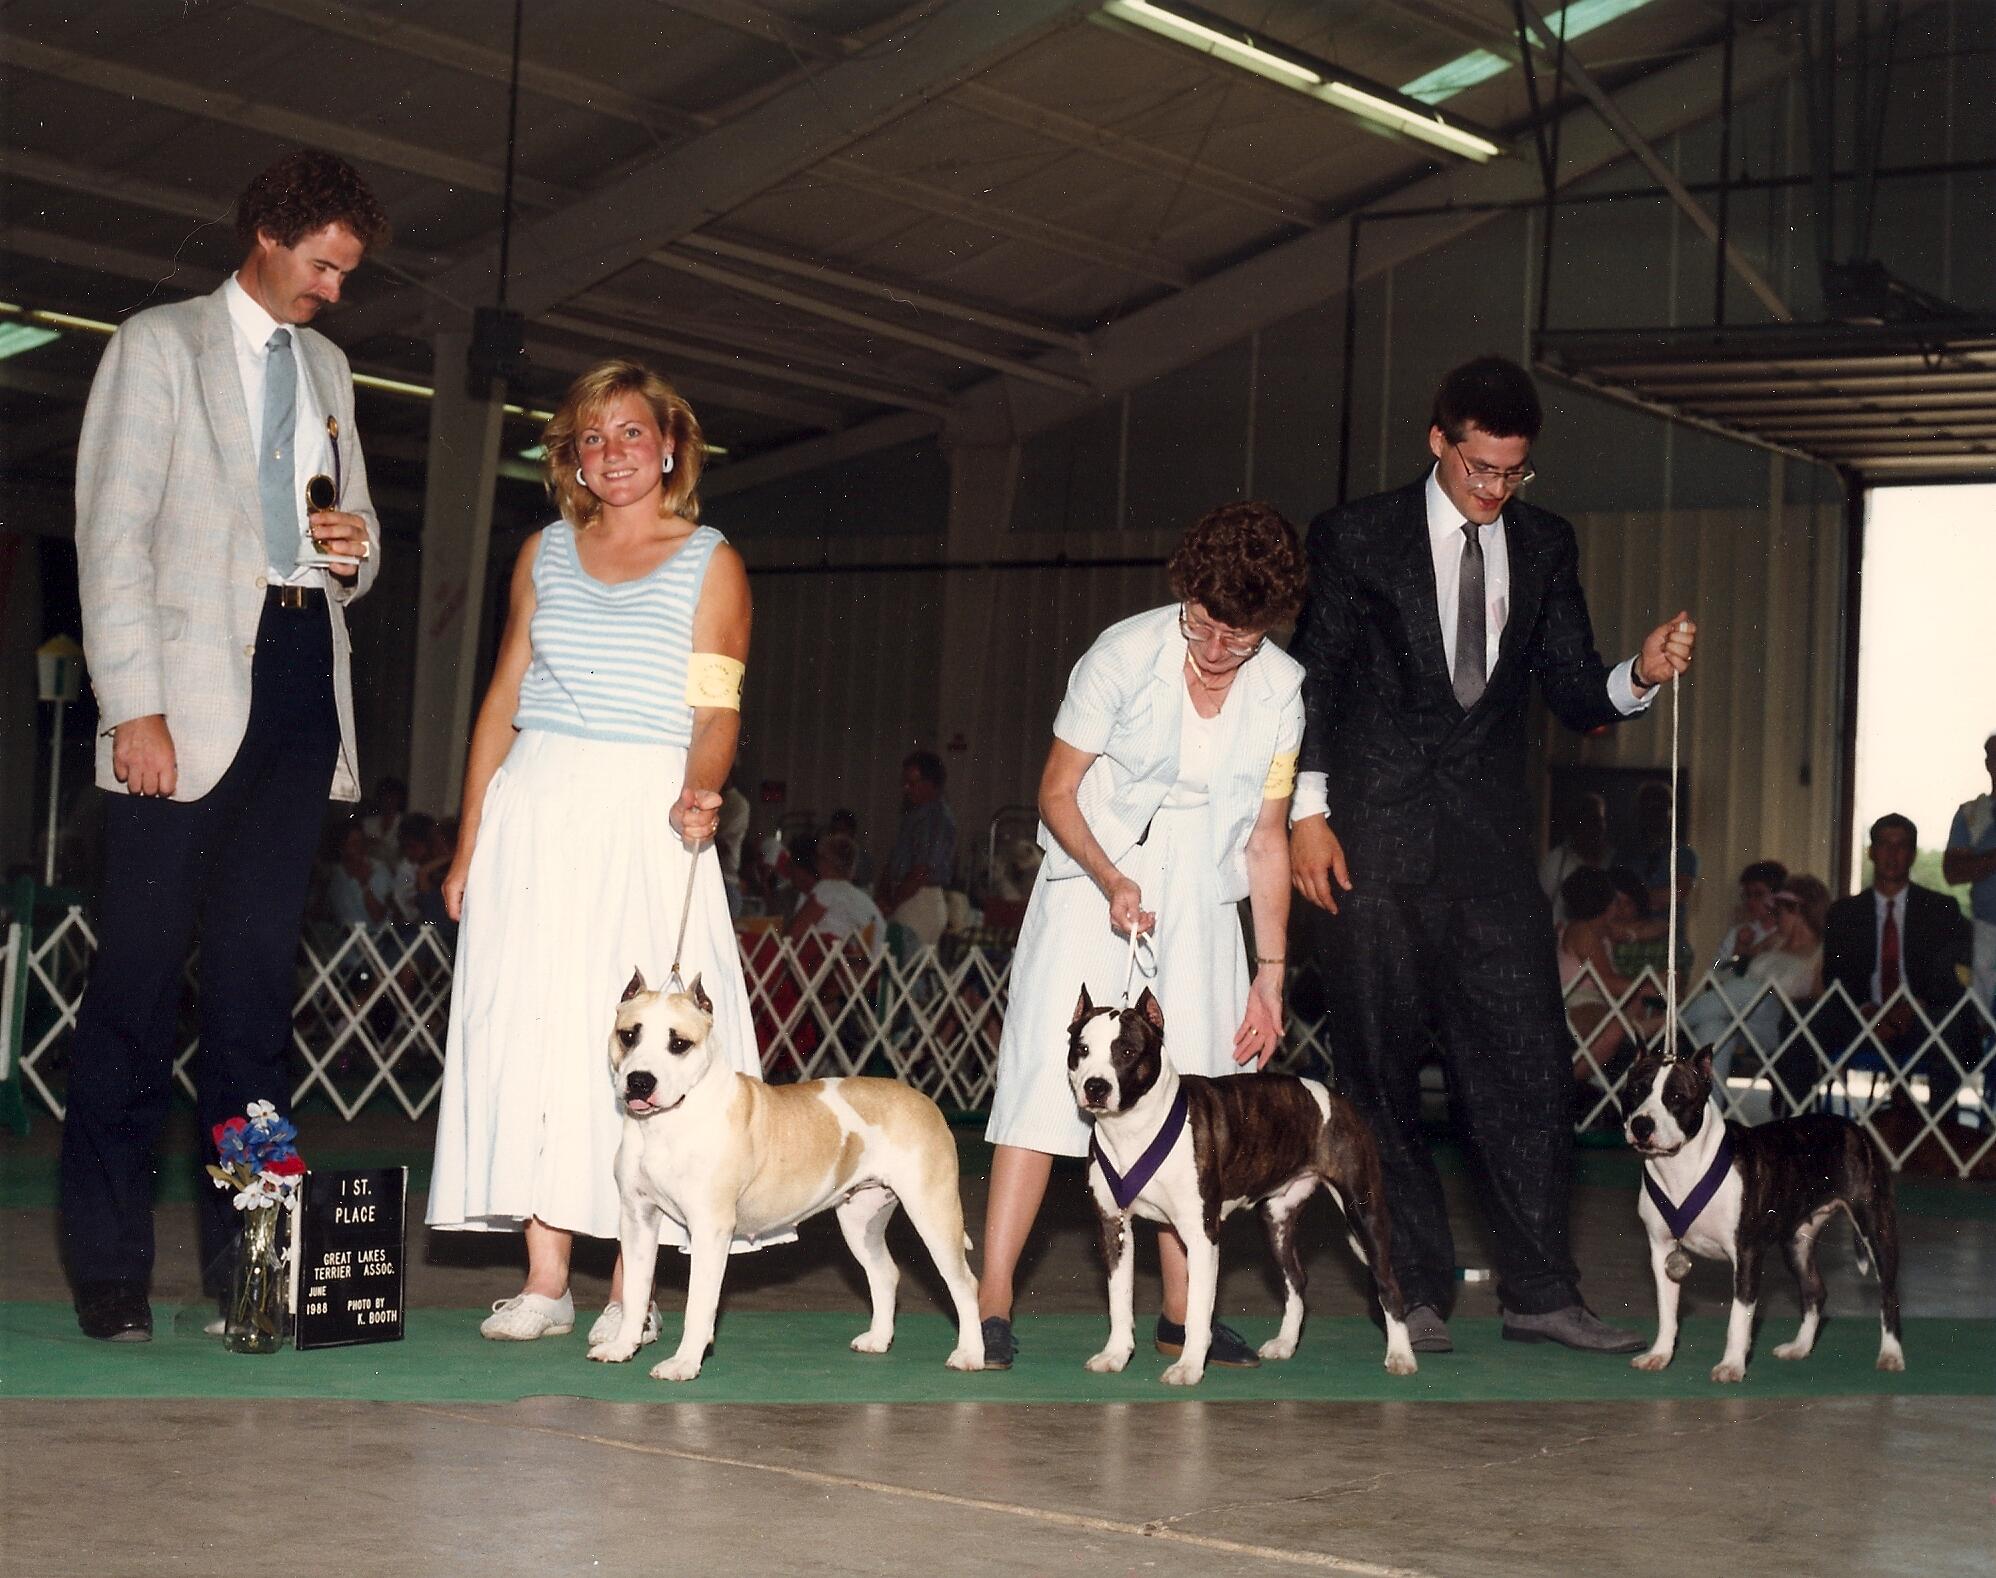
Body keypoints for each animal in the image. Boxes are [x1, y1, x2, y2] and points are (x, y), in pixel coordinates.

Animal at [586, 969, 986, 1388]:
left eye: (678, 1043)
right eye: (628, 1035)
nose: (640, 1081)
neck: (669, 1122)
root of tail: (923, 1100)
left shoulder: (710, 1227)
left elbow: (699, 1304)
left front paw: (683, 1364)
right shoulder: (638, 1218)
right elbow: (635, 1290)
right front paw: (622, 1347)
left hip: (933, 1211)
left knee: (964, 1283)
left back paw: (970, 1355)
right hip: (860, 1219)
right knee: (885, 1273)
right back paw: (877, 1340)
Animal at [1061, 993, 1421, 1388]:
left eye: (1126, 1051)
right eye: (1082, 1049)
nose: (1096, 1087)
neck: (1134, 1128)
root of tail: (1333, 1094)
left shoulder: (1201, 1235)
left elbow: (1197, 1309)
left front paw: (1189, 1367)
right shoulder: (1115, 1228)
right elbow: (1119, 1299)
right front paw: (1115, 1355)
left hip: (1363, 1212)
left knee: (1389, 1284)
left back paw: (1401, 1355)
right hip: (1277, 1219)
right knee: (1296, 1278)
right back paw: (1285, 1344)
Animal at [1620, 1045, 1900, 1380]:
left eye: (1676, 1097)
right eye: (1636, 1090)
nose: (1642, 1125)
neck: (1682, 1167)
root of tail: (1855, 1126)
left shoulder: (1747, 1253)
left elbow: (1739, 1316)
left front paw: (1731, 1365)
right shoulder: (1662, 1250)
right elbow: (1667, 1309)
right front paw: (1660, 1354)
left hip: (1876, 1227)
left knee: (1889, 1295)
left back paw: (1891, 1354)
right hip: (1797, 1243)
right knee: (1815, 1291)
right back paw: (1799, 1348)